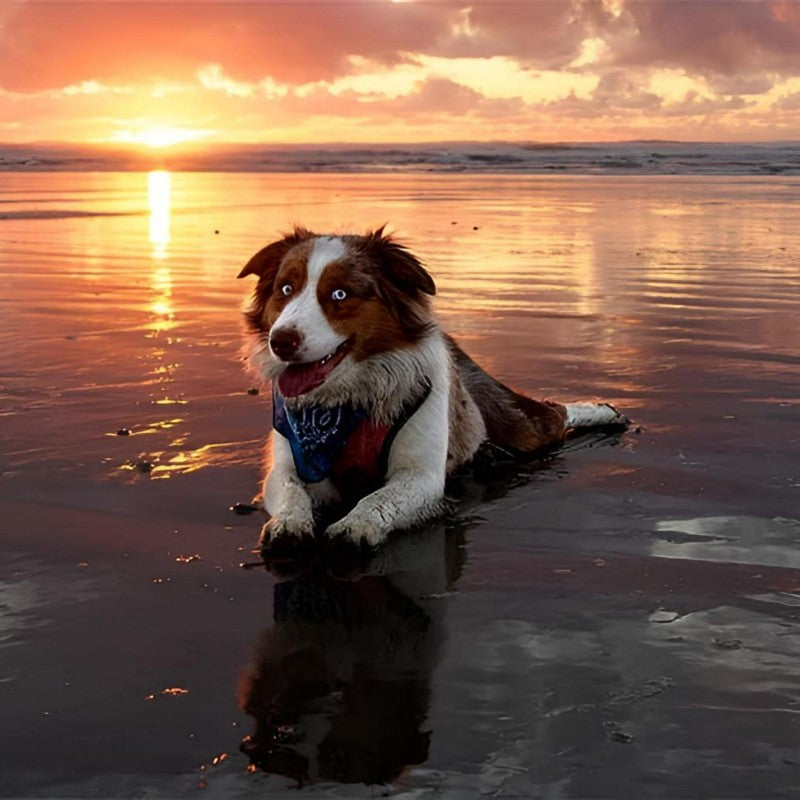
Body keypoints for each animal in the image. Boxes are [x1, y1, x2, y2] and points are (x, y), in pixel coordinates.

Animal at [238, 227, 624, 552]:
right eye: (285, 289)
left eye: (339, 294)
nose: (281, 341)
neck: (348, 398)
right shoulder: (291, 457)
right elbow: (290, 490)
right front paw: (289, 523)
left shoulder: (421, 475)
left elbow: (380, 499)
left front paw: (356, 526)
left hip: (514, 421)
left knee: (553, 414)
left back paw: (606, 410)